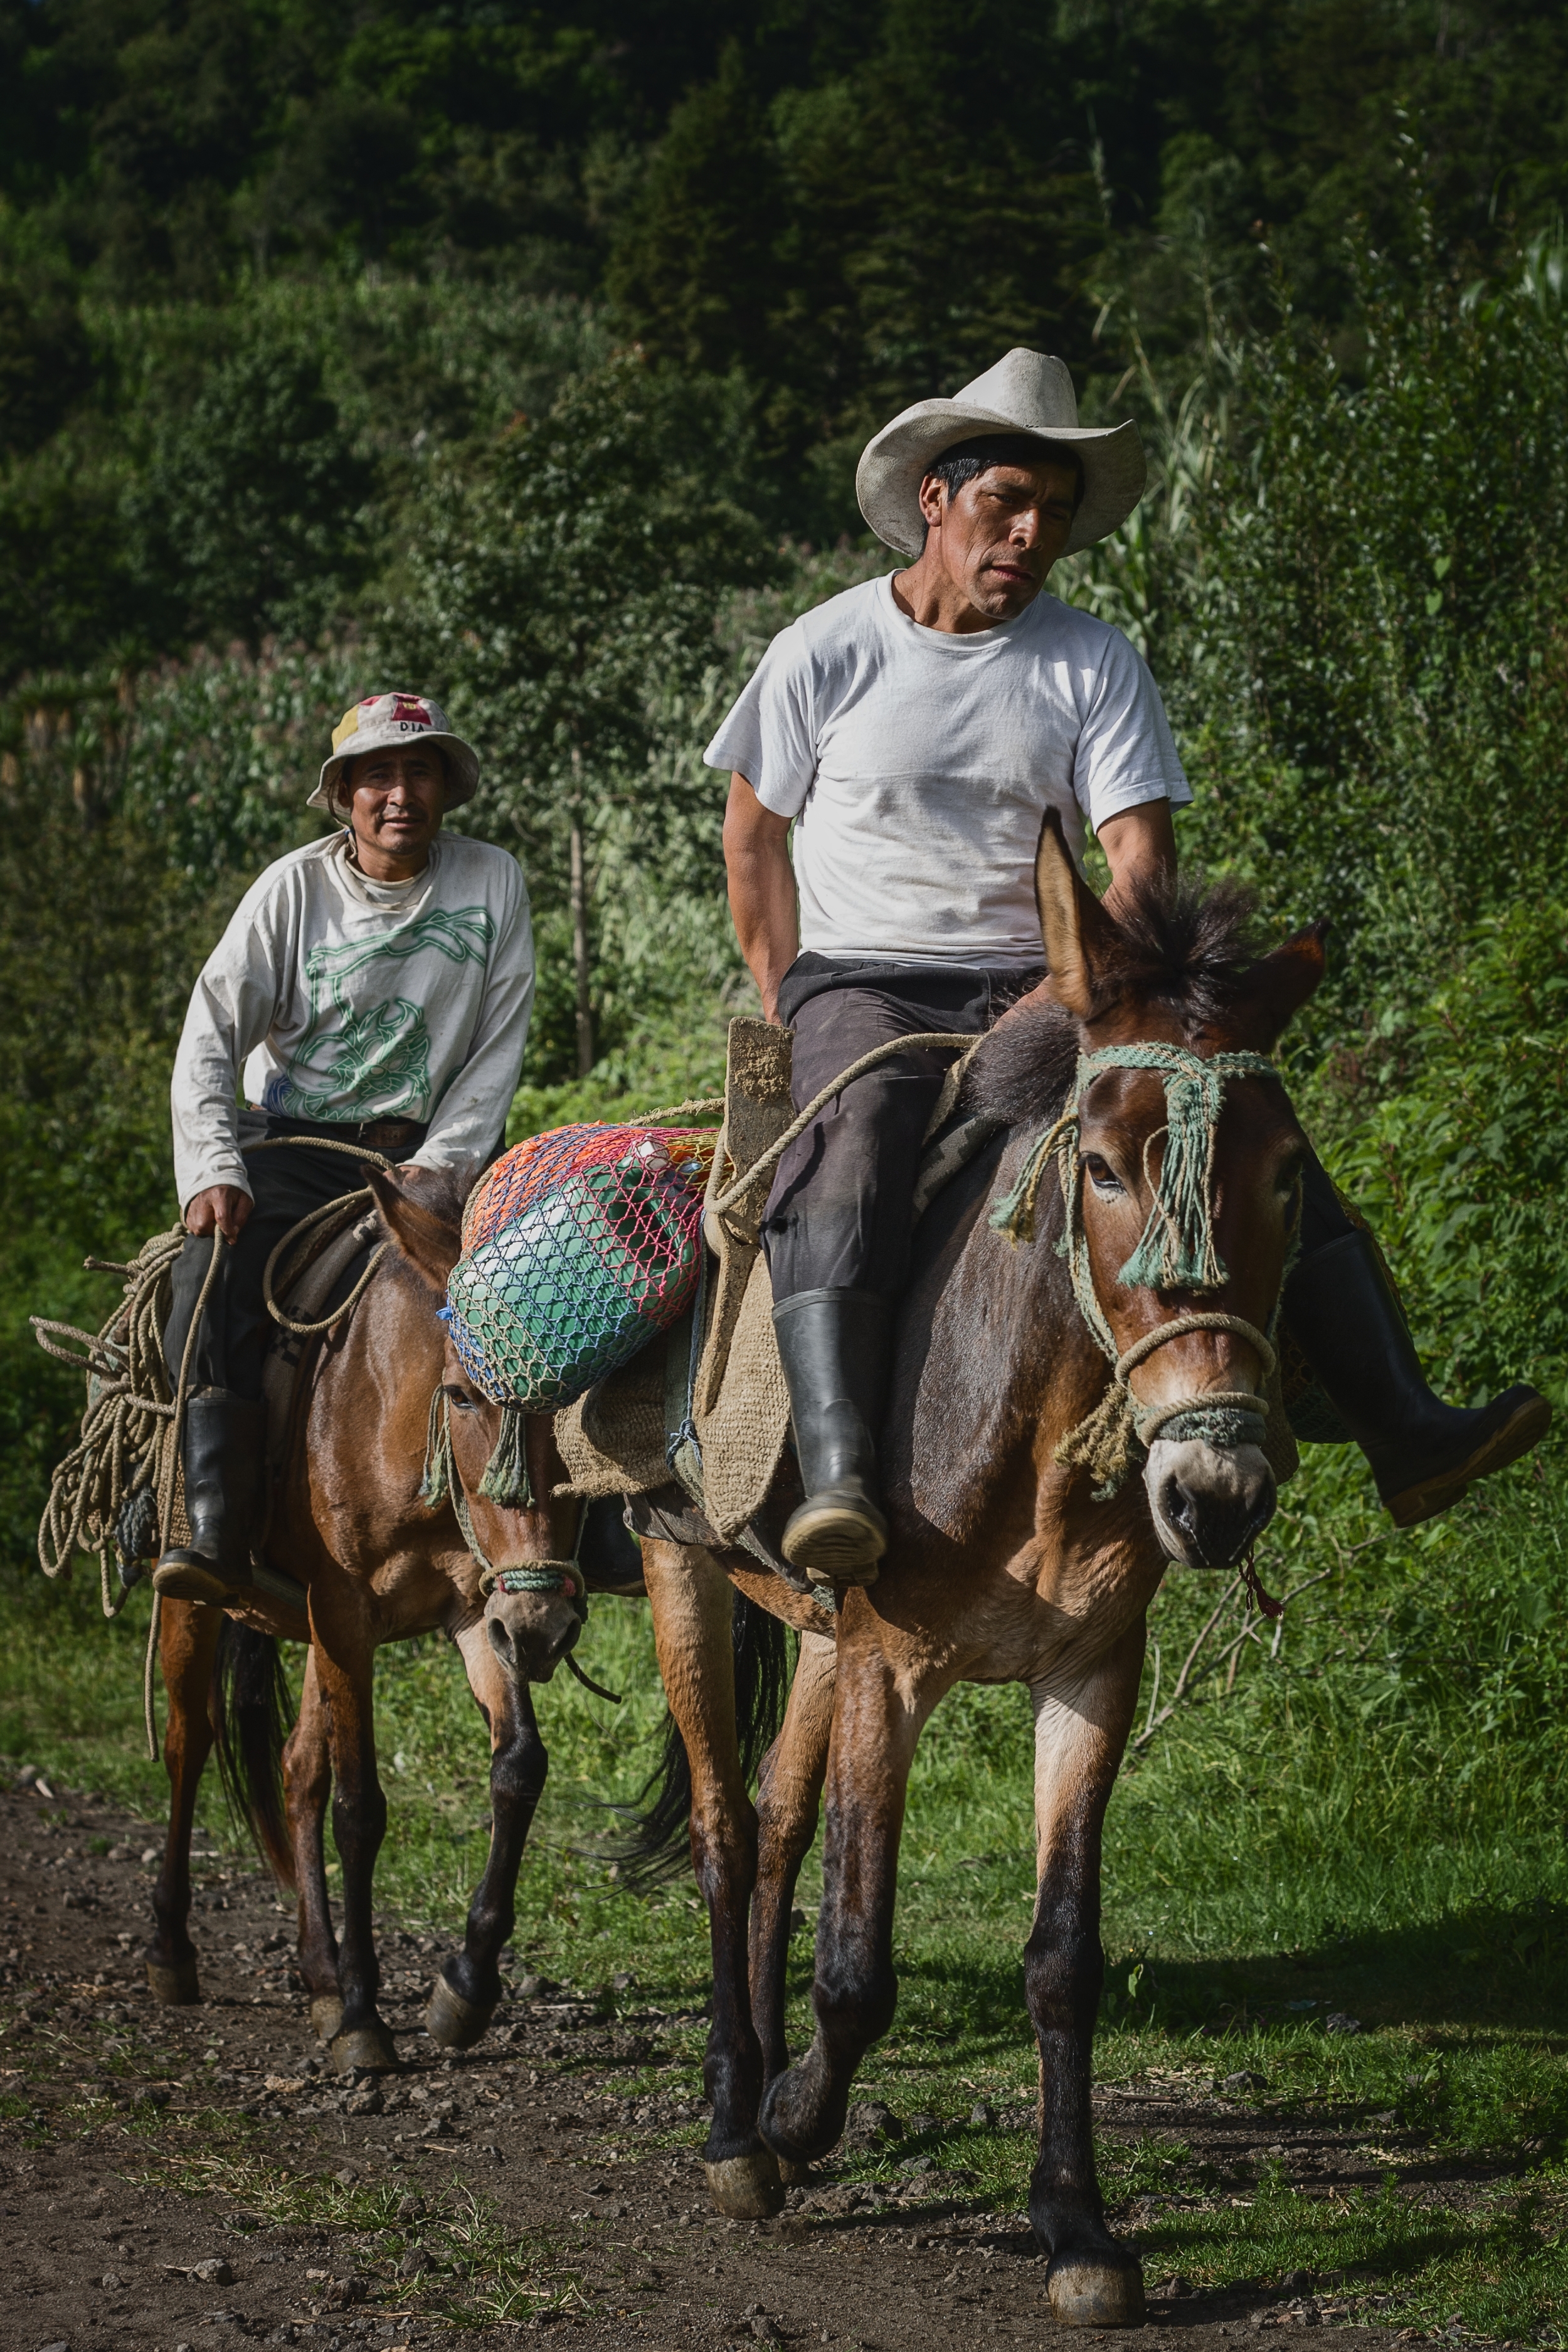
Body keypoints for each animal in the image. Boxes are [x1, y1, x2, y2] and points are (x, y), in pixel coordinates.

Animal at [147, 1167, 601, 2070]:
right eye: (462, 1394)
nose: (543, 1625)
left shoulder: (477, 1610)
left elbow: (518, 1768)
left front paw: (464, 1987)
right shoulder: (346, 1611)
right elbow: (360, 1808)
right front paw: (365, 2012)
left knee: (295, 1769)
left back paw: (318, 1972)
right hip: (199, 1600)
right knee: (189, 1741)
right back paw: (174, 1949)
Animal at [607, 832, 1335, 2314]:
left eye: (1289, 1172)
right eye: (1102, 1167)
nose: (1215, 1493)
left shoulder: (1088, 1675)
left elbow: (1062, 1959)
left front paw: (1076, 2227)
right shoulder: (893, 1668)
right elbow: (856, 1965)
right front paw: (794, 2118)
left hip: (818, 1638)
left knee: (777, 1827)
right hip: (681, 1574)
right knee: (723, 1834)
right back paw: (735, 2120)